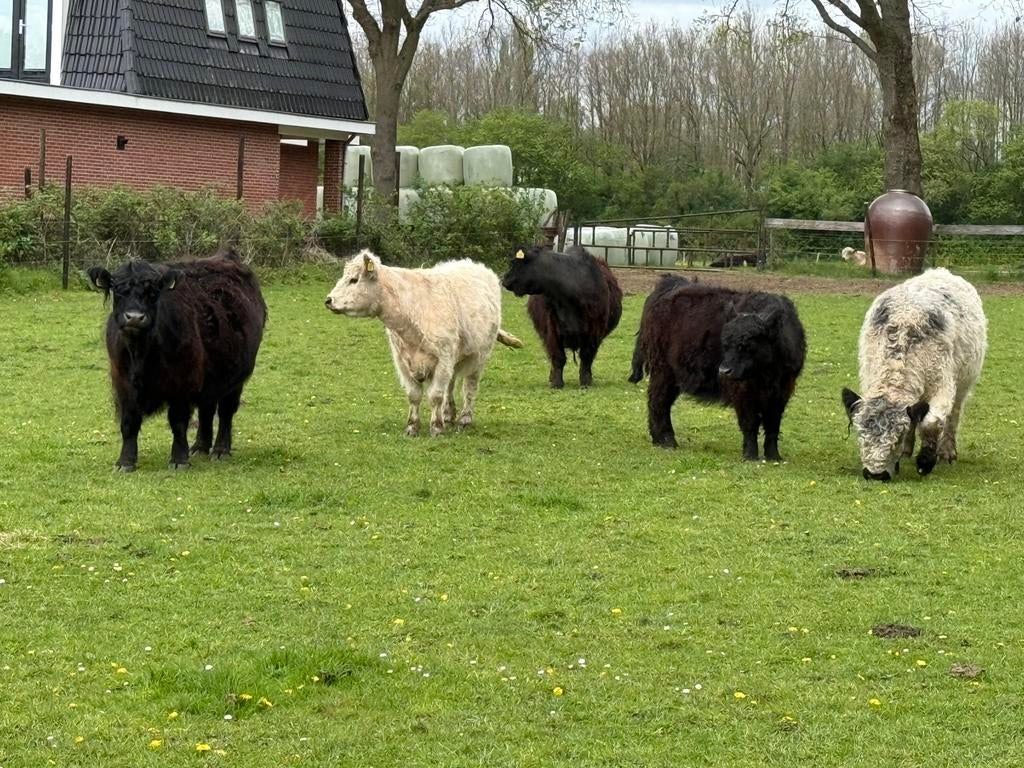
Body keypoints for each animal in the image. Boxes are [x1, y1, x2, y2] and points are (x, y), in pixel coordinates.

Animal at [86, 251, 267, 472]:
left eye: (153, 293)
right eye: (118, 291)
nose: (134, 318)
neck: (141, 352)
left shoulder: (182, 382)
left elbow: (178, 421)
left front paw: (179, 459)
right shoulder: (123, 383)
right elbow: (129, 422)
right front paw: (125, 462)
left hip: (236, 376)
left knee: (225, 411)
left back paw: (220, 449)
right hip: (209, 378)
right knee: (206, 409)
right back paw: (200, 447)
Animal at [325, 250, 522, 437]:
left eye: (354, 279)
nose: (328, 300)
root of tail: (476, 265)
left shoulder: (443, 359)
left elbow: (435, 395)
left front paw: (436, 428)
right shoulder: (402, 362)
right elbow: (414, 395)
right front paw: (412, 427)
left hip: (479, 356)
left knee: (469, 387)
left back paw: (464, 419)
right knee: (450, 385)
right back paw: (448, 414)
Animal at [501, 245, 623, 388]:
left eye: (515, 263)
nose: (504, 279)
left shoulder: (594, 332)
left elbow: (586, 358)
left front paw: (586, 381)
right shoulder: (552, 331)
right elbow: (558, 357)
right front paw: (556, 383)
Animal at [638, 283, 806, 461]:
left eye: (746, 345)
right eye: (725, 344)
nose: (724, 371)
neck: (768, 373)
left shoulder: (783, 391)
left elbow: (773, 424)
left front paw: (774, 456)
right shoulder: (742, 390)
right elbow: (750, 422)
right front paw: (750, 456)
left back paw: (659, 440)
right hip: (663, 371)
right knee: (658, 402)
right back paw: (667, 441)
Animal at [841, 268, 987, 481]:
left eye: (897, 437)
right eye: (860, 435)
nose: (875, 475)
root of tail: (940, 271)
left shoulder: (942, 387)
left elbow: (932, 424)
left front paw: (925, 462)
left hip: (964, 383)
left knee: (954, 416)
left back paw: (947, 451)